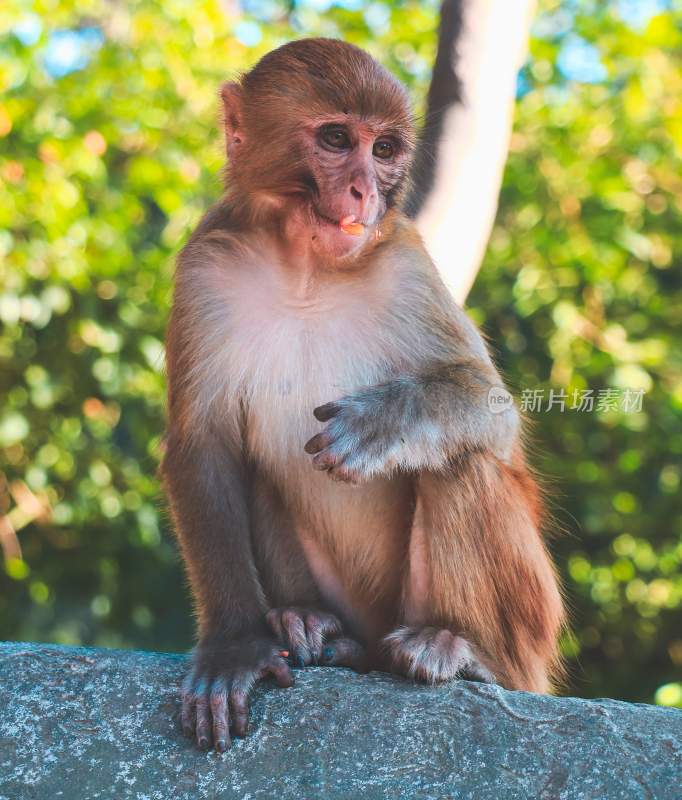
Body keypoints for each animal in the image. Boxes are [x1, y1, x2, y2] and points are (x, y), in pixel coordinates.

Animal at [161, 37, 564, 752]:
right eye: (335, 138)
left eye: (383, 150)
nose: (365, 189)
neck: (305, 269)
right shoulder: (203, 268)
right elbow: (202, 447)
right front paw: (236, 645)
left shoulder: (406, 258)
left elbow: (492, 411)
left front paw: (382, 425)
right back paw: (313, 627)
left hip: (521, 628)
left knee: (462, 462)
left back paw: (462, 650)